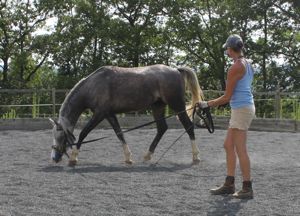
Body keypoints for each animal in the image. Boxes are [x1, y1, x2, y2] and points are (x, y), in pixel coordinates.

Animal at [49, 63, 204, 165]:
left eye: (60, 136)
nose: (54, 158)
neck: (93, 86)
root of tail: (176, 70)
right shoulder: (109, 114)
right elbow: (119, 134)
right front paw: (128, 157)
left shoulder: (99, 114)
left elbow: (84, 133)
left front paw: (73, 157)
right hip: (157, 106)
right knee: (162, 128)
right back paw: (147, 156)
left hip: (177, 105)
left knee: (188, 125)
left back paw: (196, 156)